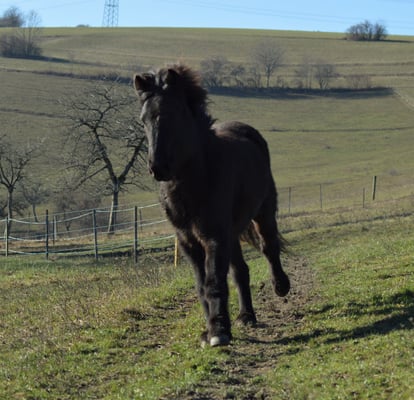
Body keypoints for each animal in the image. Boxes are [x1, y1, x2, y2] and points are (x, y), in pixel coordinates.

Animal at [133, 64, 290, 347]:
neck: (197, 179)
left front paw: (219, 331)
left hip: (263, 213)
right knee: (240, 270)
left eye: (174, 114)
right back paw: (246, 316)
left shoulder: (214, 236)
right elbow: (201, 284)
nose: (157, 167)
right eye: (144, 119)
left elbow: (214, 281)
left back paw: (281, 286)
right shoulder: (188, 241)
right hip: (233, 232)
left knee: (269, 247)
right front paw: (210, 330)